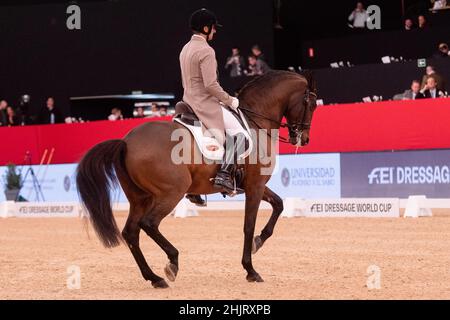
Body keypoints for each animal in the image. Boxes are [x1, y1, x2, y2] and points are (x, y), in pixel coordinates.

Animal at [76, 69, 316, 288]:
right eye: (311, 105)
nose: (303, 139)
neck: (255, 120)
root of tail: (126, 142)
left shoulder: (253, 185)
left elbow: (279, 204)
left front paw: (258, 242)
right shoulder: (255, 186)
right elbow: (248, 226)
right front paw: (251, 270)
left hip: (139, 198)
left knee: (131, 232)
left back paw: (154, 278)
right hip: (172, 192)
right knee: (149, 224)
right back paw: (172, 262)